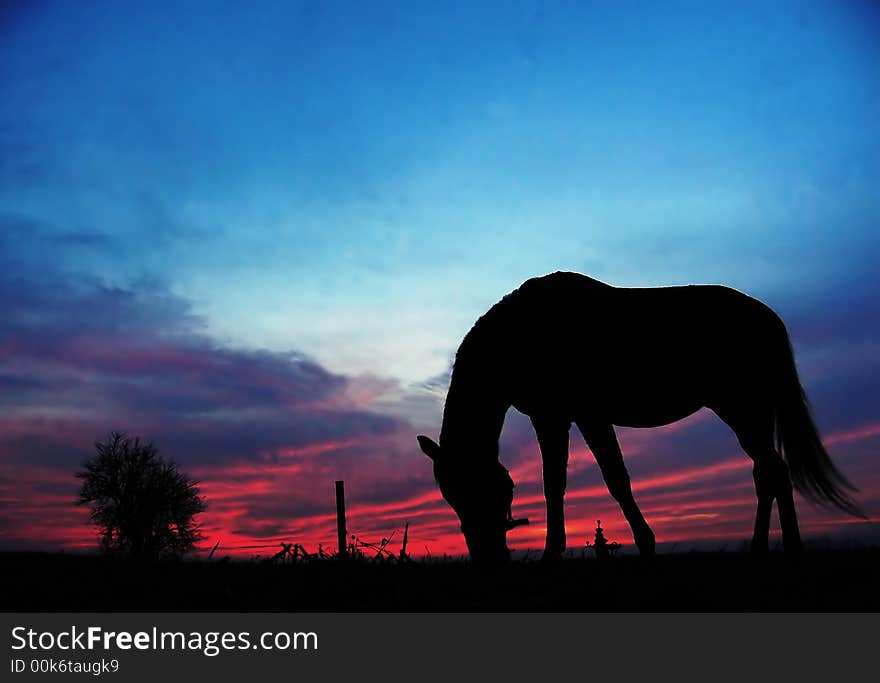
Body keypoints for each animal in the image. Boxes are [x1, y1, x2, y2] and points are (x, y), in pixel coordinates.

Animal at [418, 272, 860, 568]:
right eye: (452, 497)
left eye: (478, 490)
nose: (487, 558)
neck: (521, 336)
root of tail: (770, 319)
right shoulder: (553, 418)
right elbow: (561, 482)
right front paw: (558, 552)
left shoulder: (583, 415)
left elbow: (607, 478)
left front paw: (639, 544)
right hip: (746, 412)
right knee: (767, 473)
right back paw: (763, 549)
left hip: (743, 408)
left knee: (773, 472)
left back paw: (788, 550)